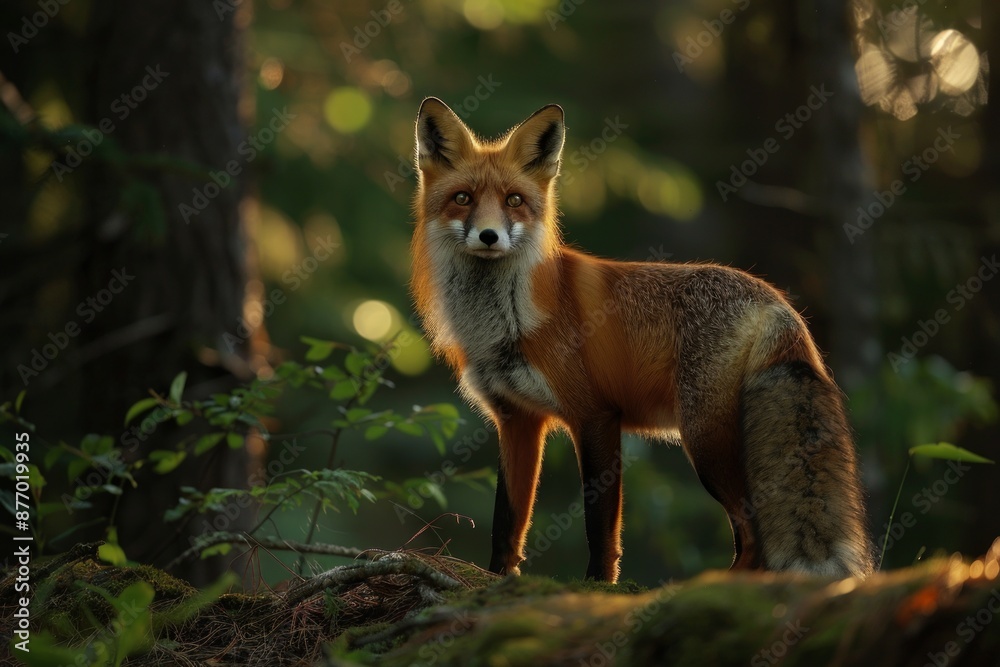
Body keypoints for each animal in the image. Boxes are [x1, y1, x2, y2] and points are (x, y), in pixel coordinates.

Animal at [409, 97, 874, 583]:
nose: (488, 236)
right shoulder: (518, 419)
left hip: (705, 442)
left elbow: (600, 526)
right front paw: (499, 580)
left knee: (754, 537)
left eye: (513, 201)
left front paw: (597, 586)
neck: (507, 321)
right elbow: (507, 521)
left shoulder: (594, 415)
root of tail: (777, 303)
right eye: (463, 198)